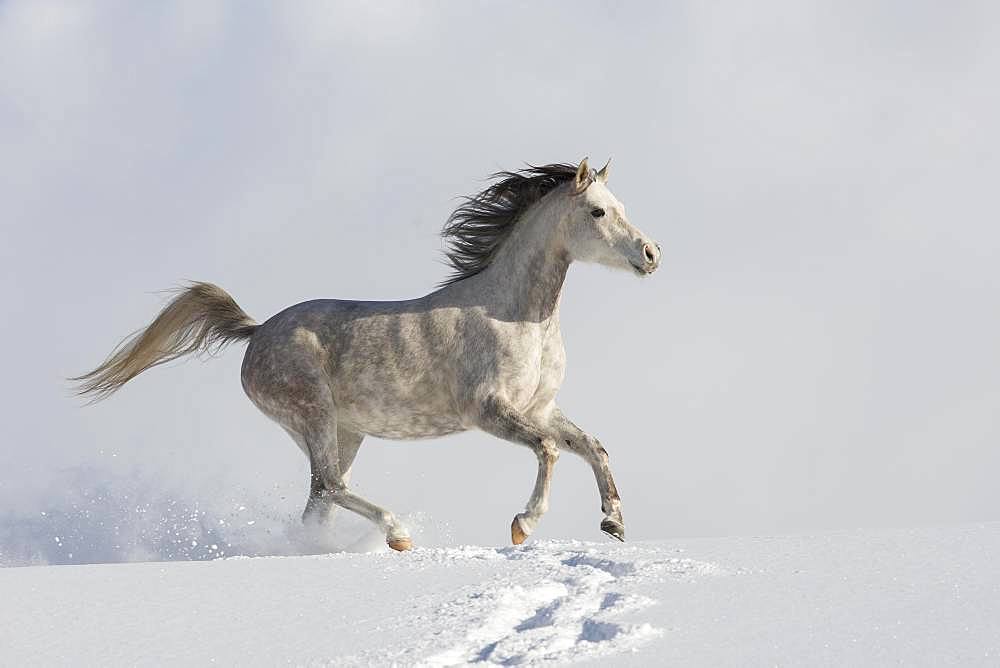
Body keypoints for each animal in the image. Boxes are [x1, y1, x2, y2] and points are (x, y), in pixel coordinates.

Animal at [72, 159, 664, 552]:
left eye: (621, 208)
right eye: (597, 211)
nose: (651, 254)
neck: (514, 314)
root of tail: (257, 332)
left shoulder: (540, 408)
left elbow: (593, 447)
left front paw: (614, 524)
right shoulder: (490, 411)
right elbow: (548, 450)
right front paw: (523, 525)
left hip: (343, 432)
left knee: (320, 497)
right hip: (314, 416)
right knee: (332, 486)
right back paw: (398, 534)